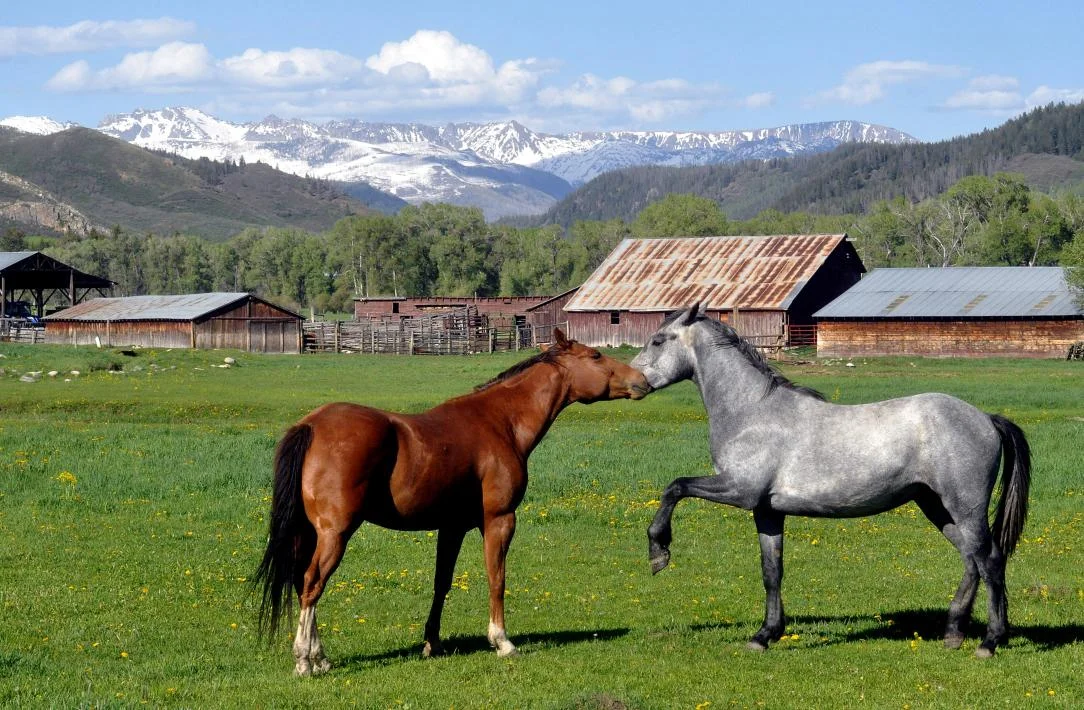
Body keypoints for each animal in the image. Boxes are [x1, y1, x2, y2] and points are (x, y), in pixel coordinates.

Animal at [254, 329, 652, 675]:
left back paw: (320, 657)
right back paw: (305, 661)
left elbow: (441, 583)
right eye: (596, 356)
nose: (643, 380)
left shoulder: (453, 527)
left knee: (302, 584)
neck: (501, 422)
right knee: (312, 584)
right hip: (335, 534)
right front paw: (502, 641)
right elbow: (497, 578)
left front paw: (432, 643)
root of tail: (311, 425)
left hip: (309, 533)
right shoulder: (499, 520)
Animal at [630, 304, 1030, 657]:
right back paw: (953, 633)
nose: (632, 383)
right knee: (971, 561)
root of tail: (986, 418)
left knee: (990, 561)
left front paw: (658, 551)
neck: (752, 412)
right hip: (936, 507)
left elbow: (675, 487)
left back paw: (990, 642)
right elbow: (771, 571)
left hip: (965, 508)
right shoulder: (766, 511)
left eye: (658, 340)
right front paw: (765, 635)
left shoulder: (738, 490)